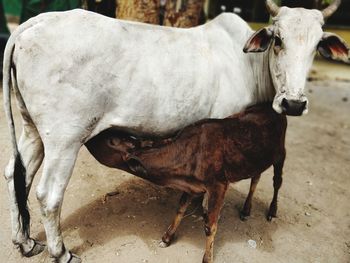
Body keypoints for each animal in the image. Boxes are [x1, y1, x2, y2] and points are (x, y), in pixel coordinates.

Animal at [85, 103, 288, 263]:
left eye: (111, 140)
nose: (91, 135)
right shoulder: (191, 185)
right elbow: (180, 209)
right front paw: (167, 237)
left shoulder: (218, 185)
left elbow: (210, 226)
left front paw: (207, 258)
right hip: (257, 158)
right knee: (256, 178)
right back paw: (246, 210)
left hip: (280, 154)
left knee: (277, 182)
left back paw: (272, 210)